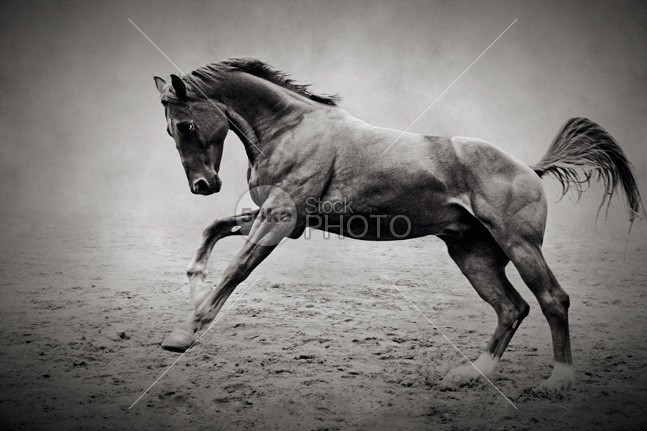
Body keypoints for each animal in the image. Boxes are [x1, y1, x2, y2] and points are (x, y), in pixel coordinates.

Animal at [152, 59, 644, 394]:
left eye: (186, 124)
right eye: (170, 131)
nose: (203, 185)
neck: (292, 129)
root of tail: (528, 167)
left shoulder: (279, 220)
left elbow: (236, 269)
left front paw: (185, 332)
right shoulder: (280, 220)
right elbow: (213, 228)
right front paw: (194, 283)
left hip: (520, 246)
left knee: (552, 300)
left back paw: (557, 380)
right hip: (474, 255)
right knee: (511, 308)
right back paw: (472, 373)